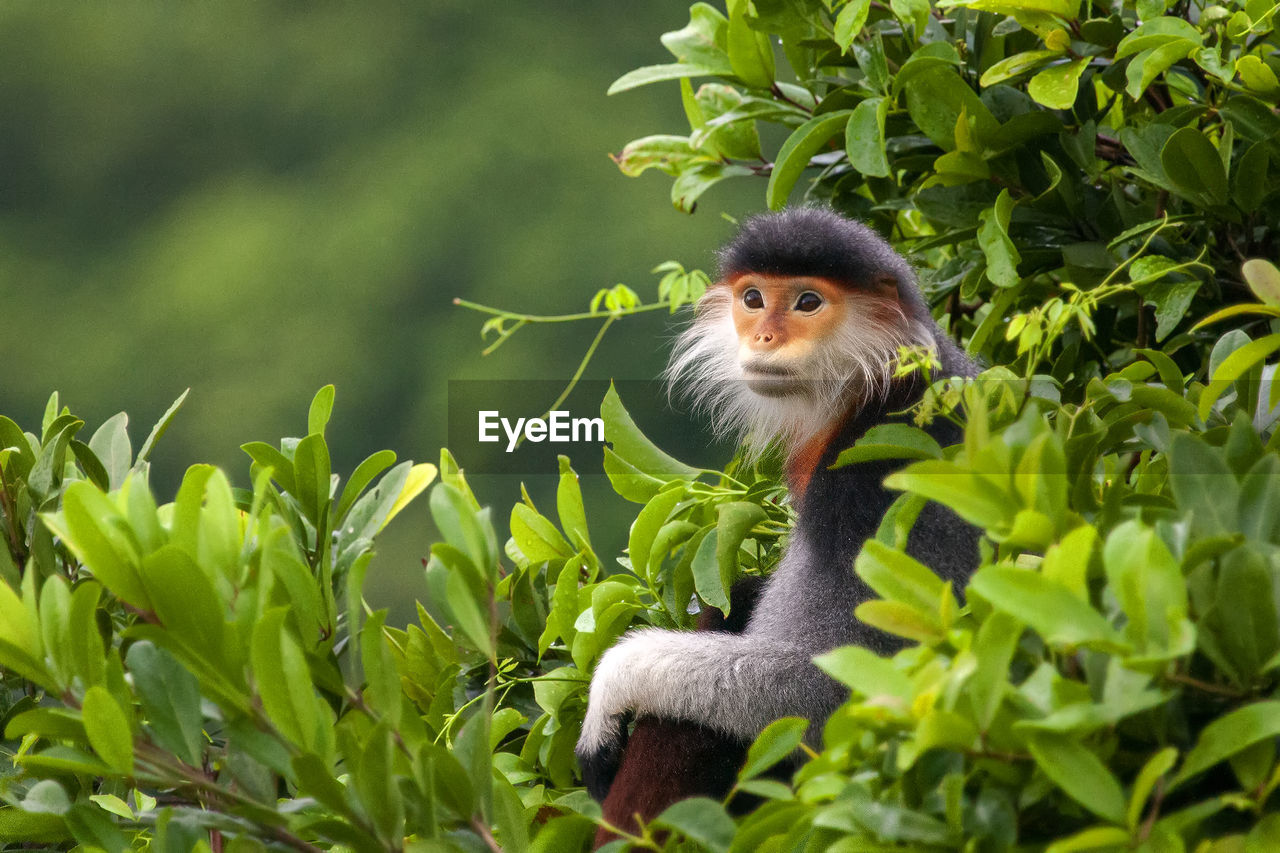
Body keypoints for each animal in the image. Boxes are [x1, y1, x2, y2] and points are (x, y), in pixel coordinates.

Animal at [576, 202, 983, 824]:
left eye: (807, 302)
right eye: (753, 299)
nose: (764, 335)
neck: (872, 389)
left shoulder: (873, 481)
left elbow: (830, 695)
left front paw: (612, 684)